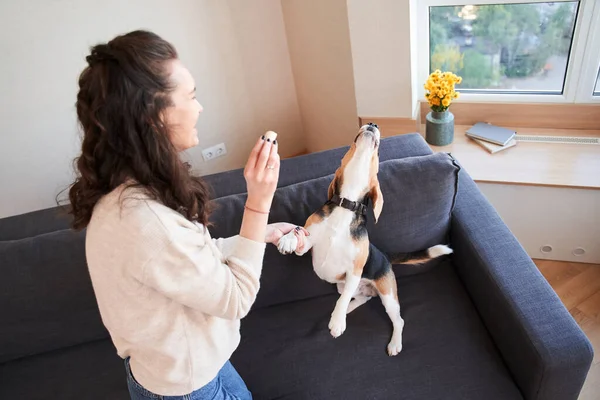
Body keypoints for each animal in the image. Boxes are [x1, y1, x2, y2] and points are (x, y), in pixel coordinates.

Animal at [278, 123, 452, 354]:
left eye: (377, 154)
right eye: (351, 145)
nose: (373, 124)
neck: (347, 203)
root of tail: (385, 256)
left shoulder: (355, 269)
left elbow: (342, 300)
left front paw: (337, 322)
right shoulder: (309, 243)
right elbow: (298, 234)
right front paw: (288, 239)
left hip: (387, 295)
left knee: (397, 319)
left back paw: (394, 342)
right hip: (343, 285)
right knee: (362, 297)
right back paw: (351, 308)